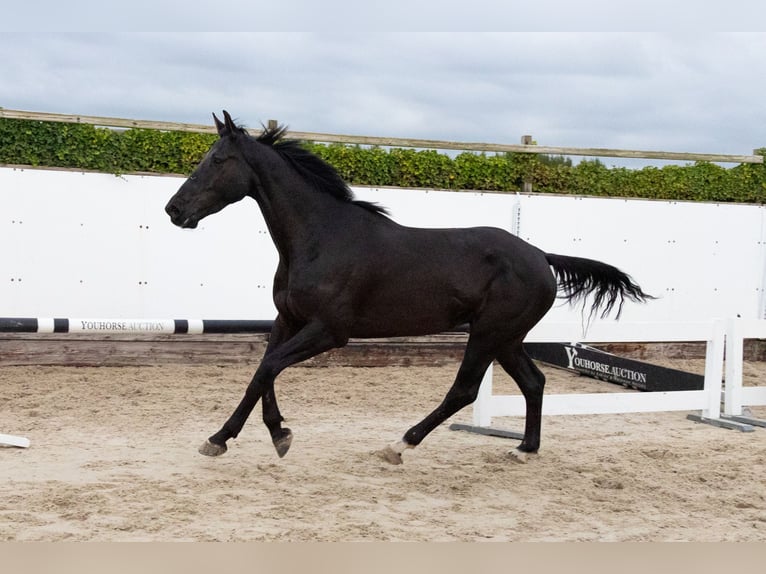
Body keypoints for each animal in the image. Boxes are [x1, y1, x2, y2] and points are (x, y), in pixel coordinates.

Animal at [165, 111, 652, 464]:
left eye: (217, 161)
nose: (174, 209)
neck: (321, 238)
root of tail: (542, 257)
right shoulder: (288, 319)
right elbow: (262, 371)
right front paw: (261, 435)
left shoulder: (329, 331)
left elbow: (268, 368)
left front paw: (240, 437)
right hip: (507, 337)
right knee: (534, 382)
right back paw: (523, 449)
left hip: (489, 333)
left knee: (464, 389)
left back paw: (399, 445)